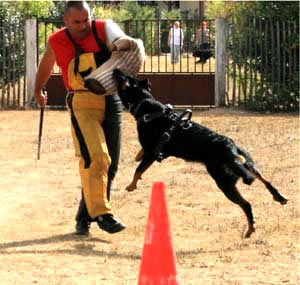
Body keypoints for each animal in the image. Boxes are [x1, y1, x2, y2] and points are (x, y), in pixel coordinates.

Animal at [111, 67, 288, 236]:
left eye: (124, 78)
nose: (115, 70)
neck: (146, 105)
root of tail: (231, 148)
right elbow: (139, 159)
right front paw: (136, 159)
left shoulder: (152, 152)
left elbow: (138, 169)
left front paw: (131, 185)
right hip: (249, 166)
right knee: (266, 181)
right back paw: (278, 197)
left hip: (224, 182)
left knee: (246, 204)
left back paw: (250, 229)